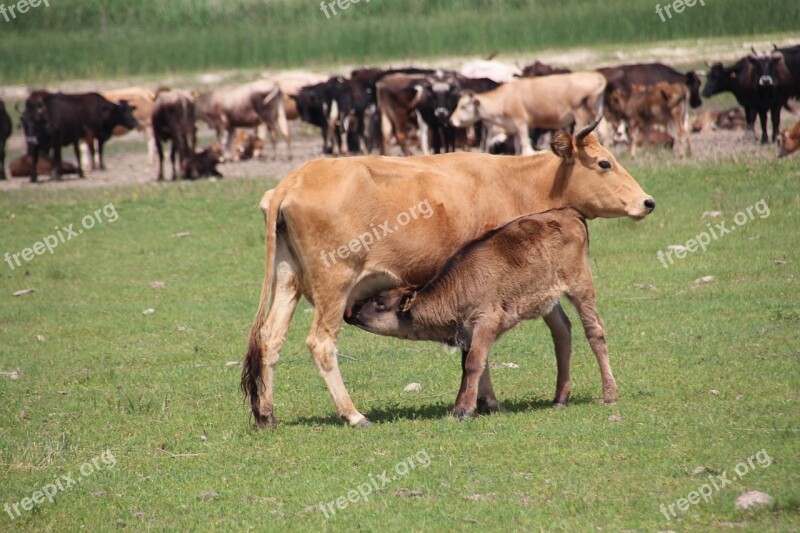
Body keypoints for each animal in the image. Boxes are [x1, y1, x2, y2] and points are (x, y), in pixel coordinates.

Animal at [346, 206, 620, 418]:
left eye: (379, 302)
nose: (349, 312)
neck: (456, 290)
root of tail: (568, 211)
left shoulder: (486, 321)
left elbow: (474, 363)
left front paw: (465, 410)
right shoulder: (469, 332)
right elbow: (471, 364)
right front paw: (474, 405)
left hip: (580, 286)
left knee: (595, 331)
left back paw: (610, 394)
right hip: (548, 301)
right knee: (562, 331)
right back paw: (560, 398)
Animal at [450, 71, 608, 154]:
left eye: (463, 106)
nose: (451, 120)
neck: (504, 98)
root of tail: (595, 76)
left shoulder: (521, 123)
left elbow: (525, 145)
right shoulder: (513, 129)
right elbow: (517, 148)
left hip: (580, 115)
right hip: (596, 112)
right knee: (603, 133)